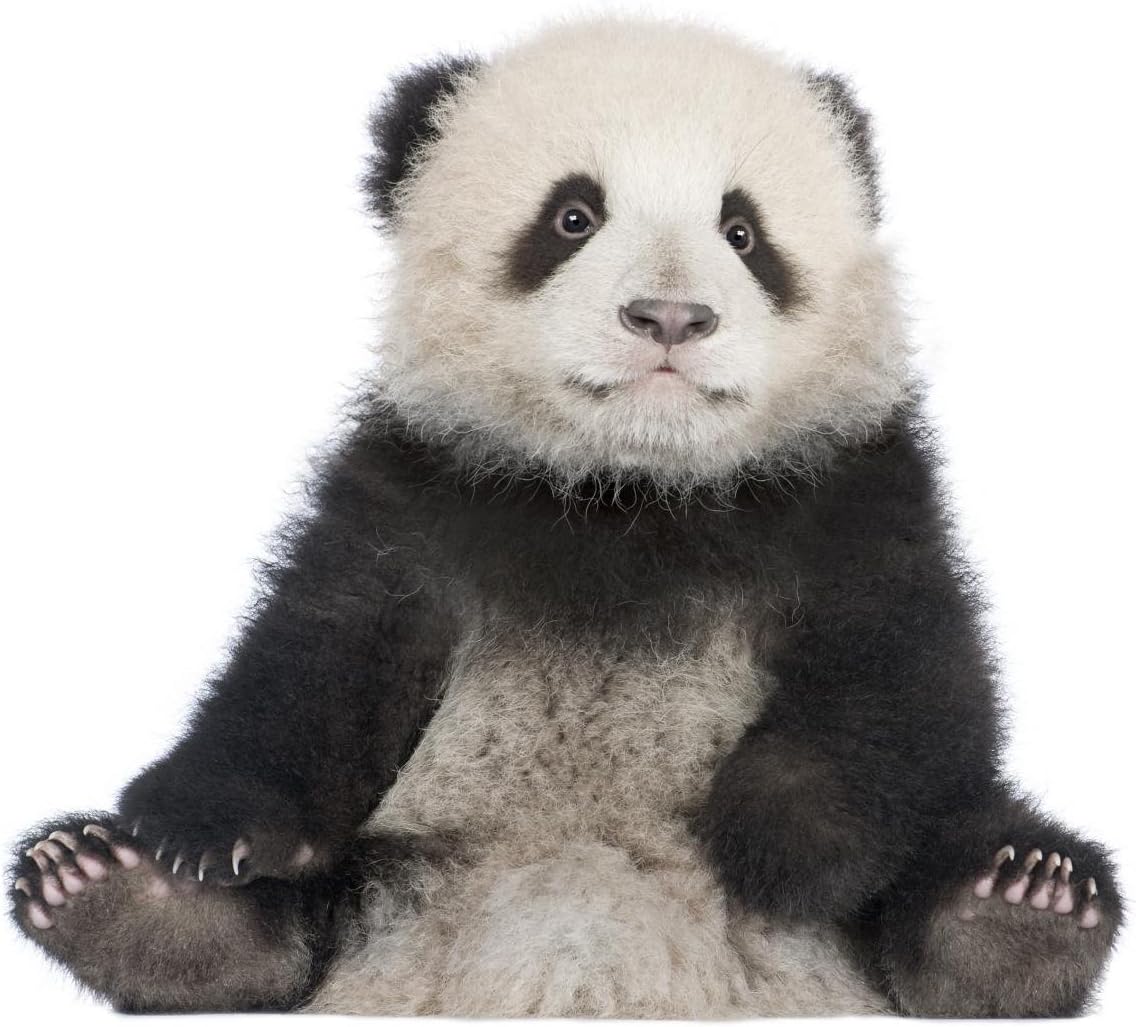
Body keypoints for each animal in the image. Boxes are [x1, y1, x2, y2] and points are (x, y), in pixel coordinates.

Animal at [8, 15, 1122, 1018]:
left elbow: (907, 675)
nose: (670, 317)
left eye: (742, 232)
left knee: (969, 845)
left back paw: (1014, 908)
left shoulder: (848, 491)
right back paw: (126, 897)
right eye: (572, 217)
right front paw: (199, 829)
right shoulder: (421, 493)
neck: (629, 492)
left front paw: (787, 843)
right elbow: (317, 653)